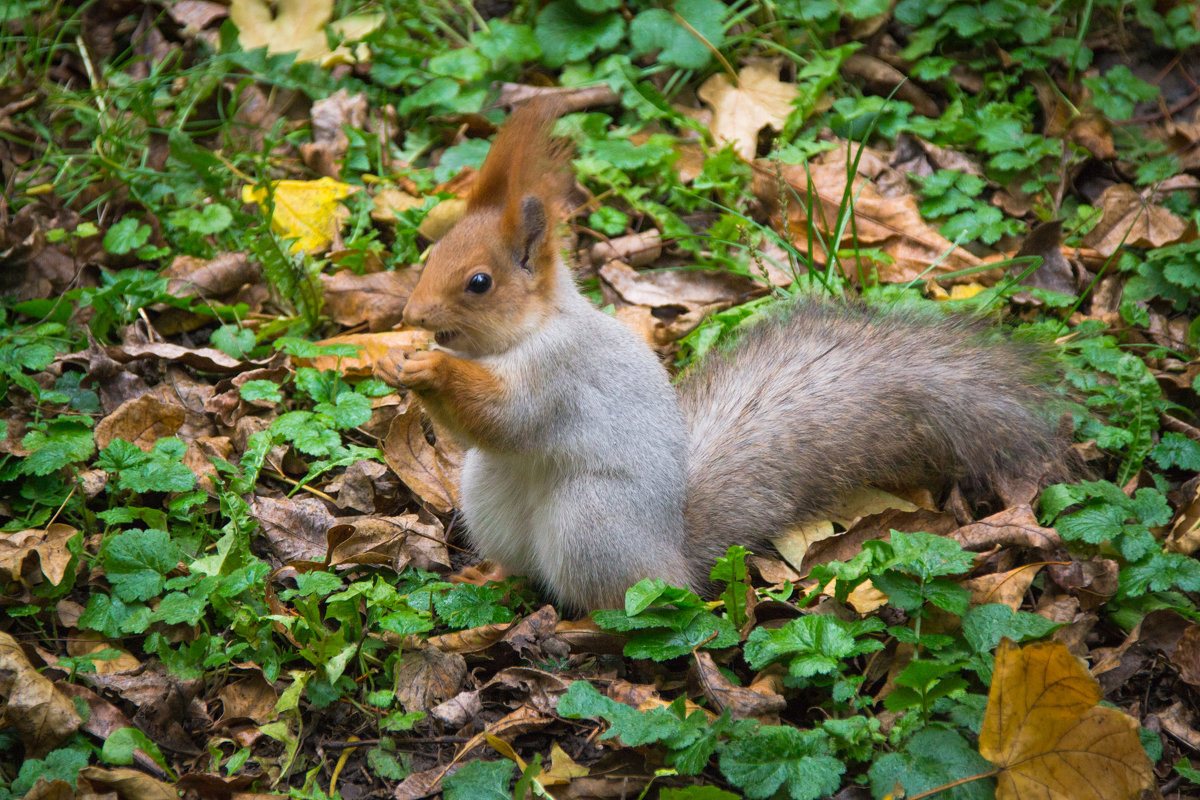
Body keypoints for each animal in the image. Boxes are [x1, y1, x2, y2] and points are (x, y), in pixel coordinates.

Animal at [369, 98, 1065, 614]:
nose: (412, 317)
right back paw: (486, 577)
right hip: (487, 499)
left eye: (479, 283)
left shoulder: (561, 375)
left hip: (589, 524)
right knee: (524, 572)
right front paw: (393, 361)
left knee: (611, 603)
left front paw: (428, 367)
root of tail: (670, 562)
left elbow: (506, 419)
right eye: (433, 253)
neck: (527, 334)